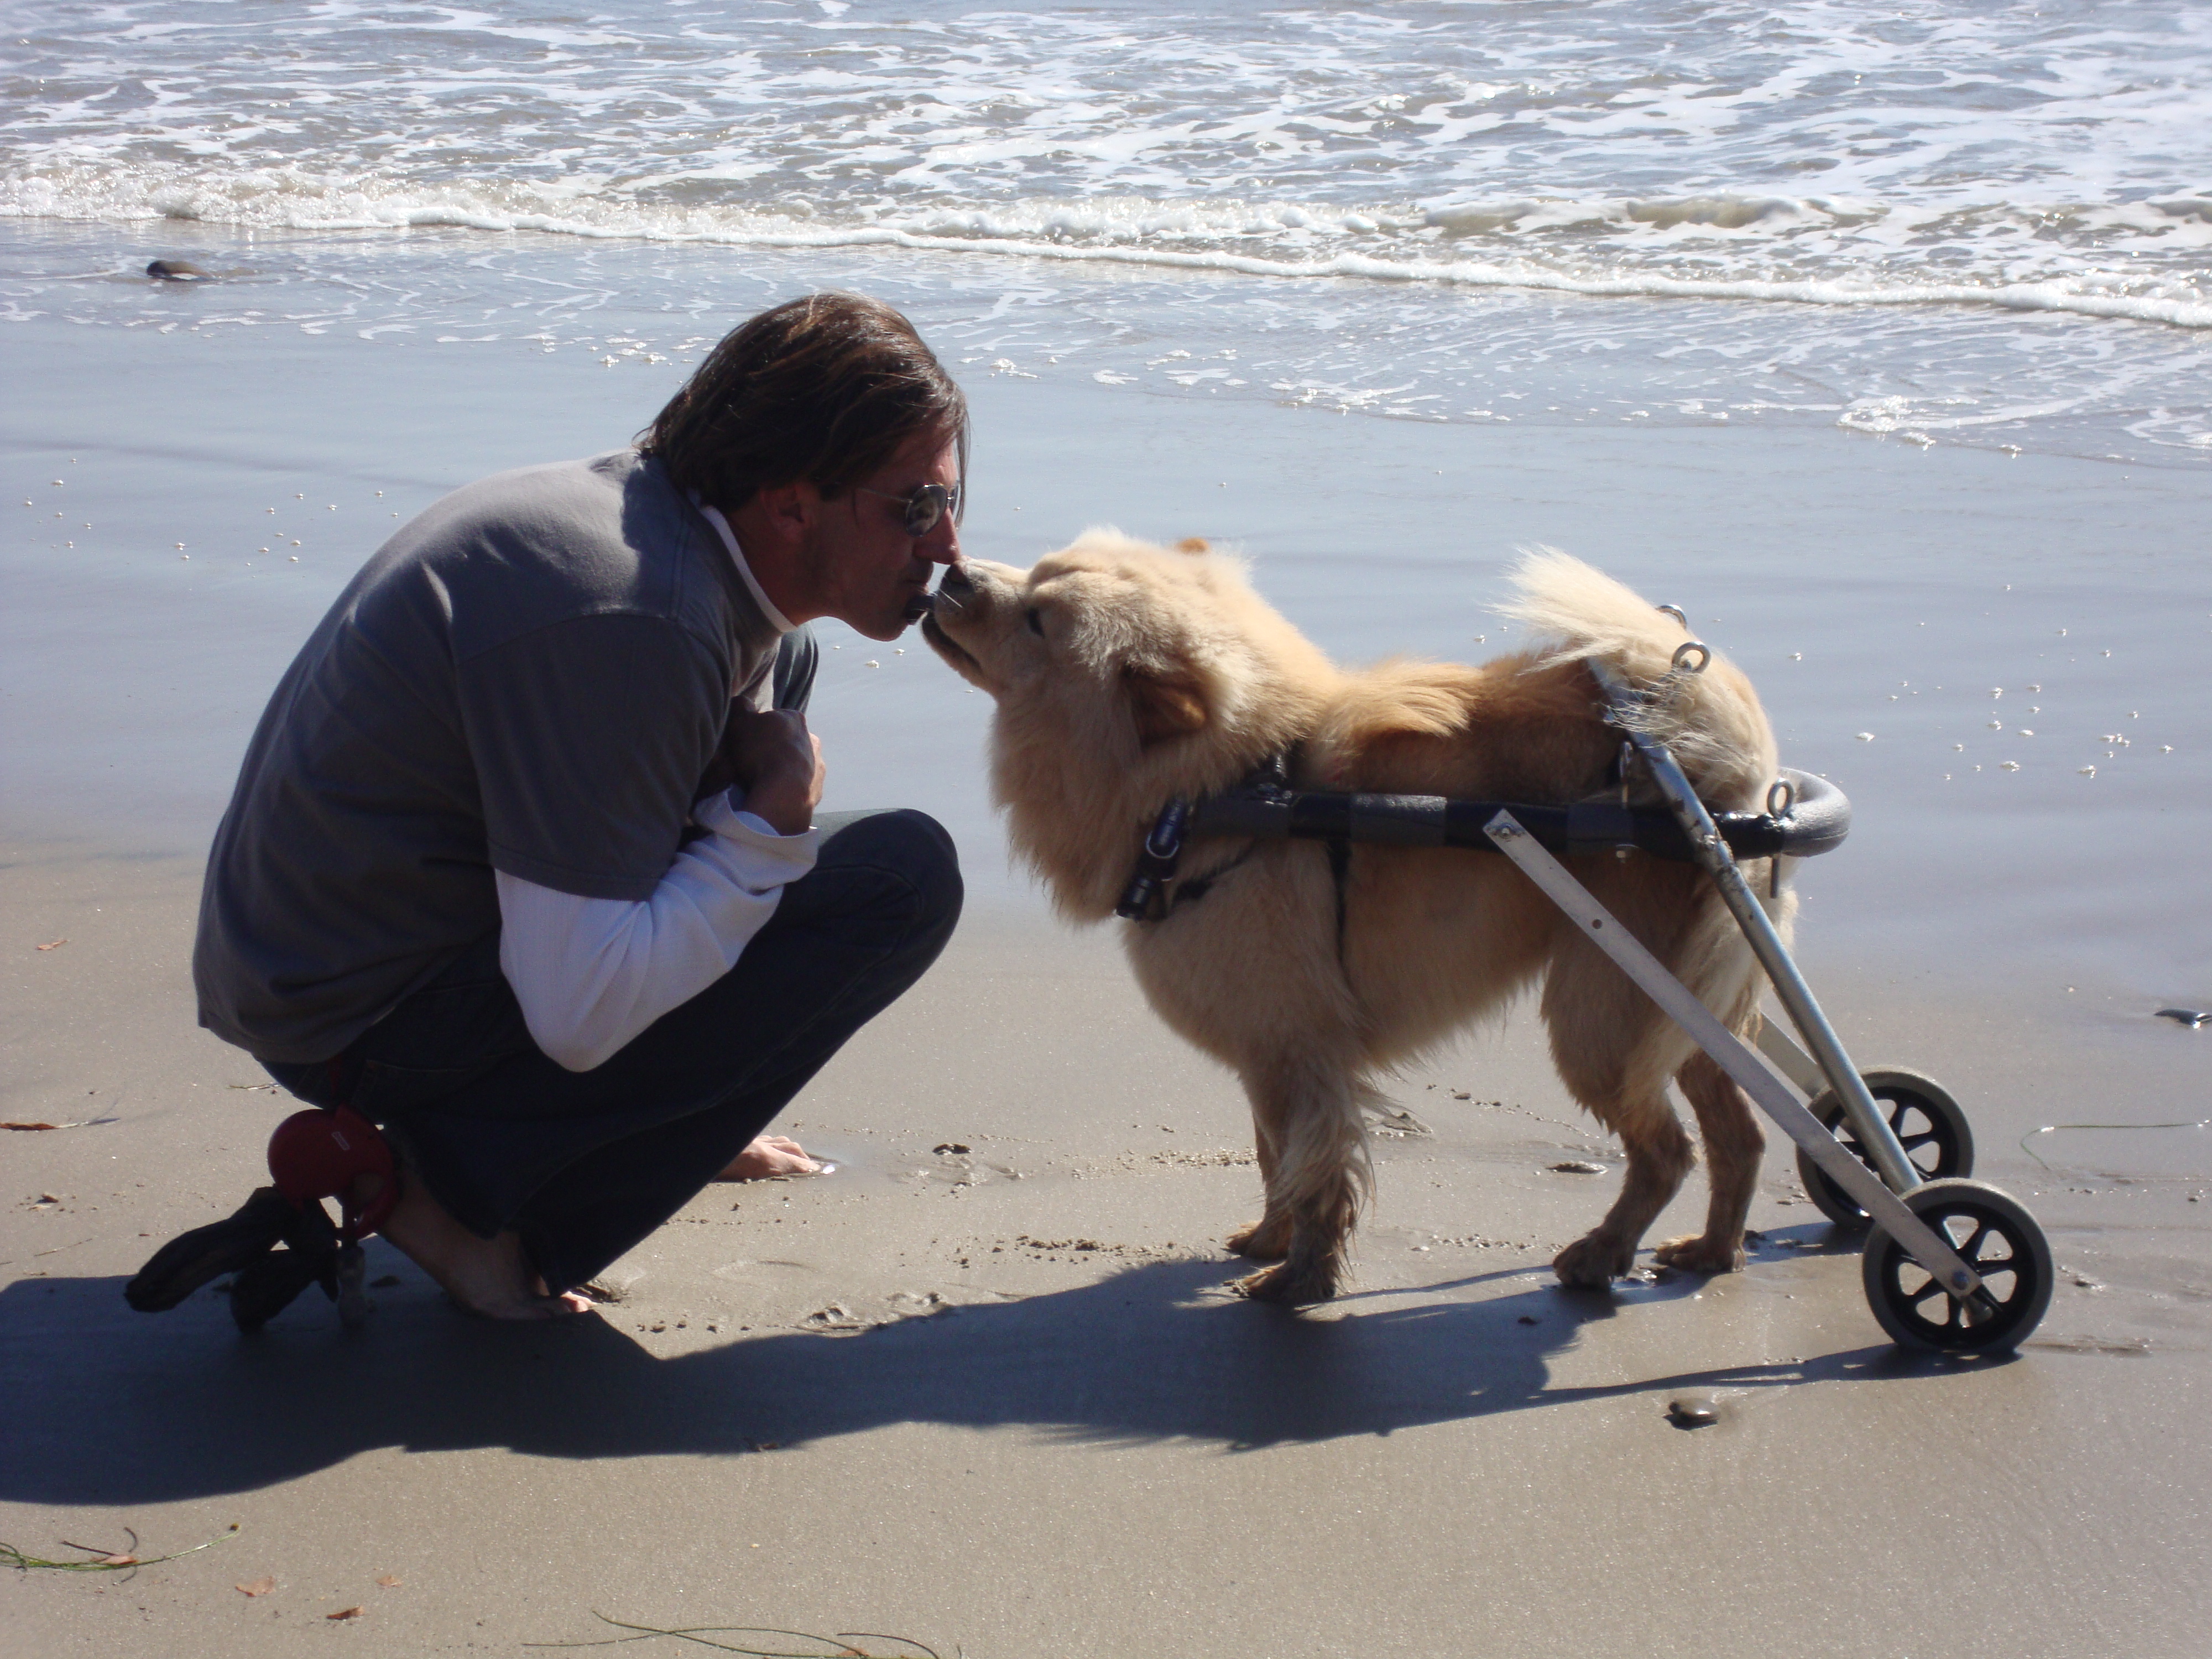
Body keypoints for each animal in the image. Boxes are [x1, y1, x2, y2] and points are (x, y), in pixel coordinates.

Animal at [925, 535, 1787, 1310]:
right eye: (1035, 573)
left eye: (1039, 619)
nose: (954, 571)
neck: (1225, 793)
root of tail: (1731, 787)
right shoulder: (1268, 1052)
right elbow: (1274, 1156)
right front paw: (1268, 1241)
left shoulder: (1297, 1051)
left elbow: (1314, 1172)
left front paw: (1296, 1282)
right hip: (1682, 1020)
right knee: (1741, 1135)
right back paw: (1713, 1251)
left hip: (1601, 1020)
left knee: (1668, 1152)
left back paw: (1600, 1254)